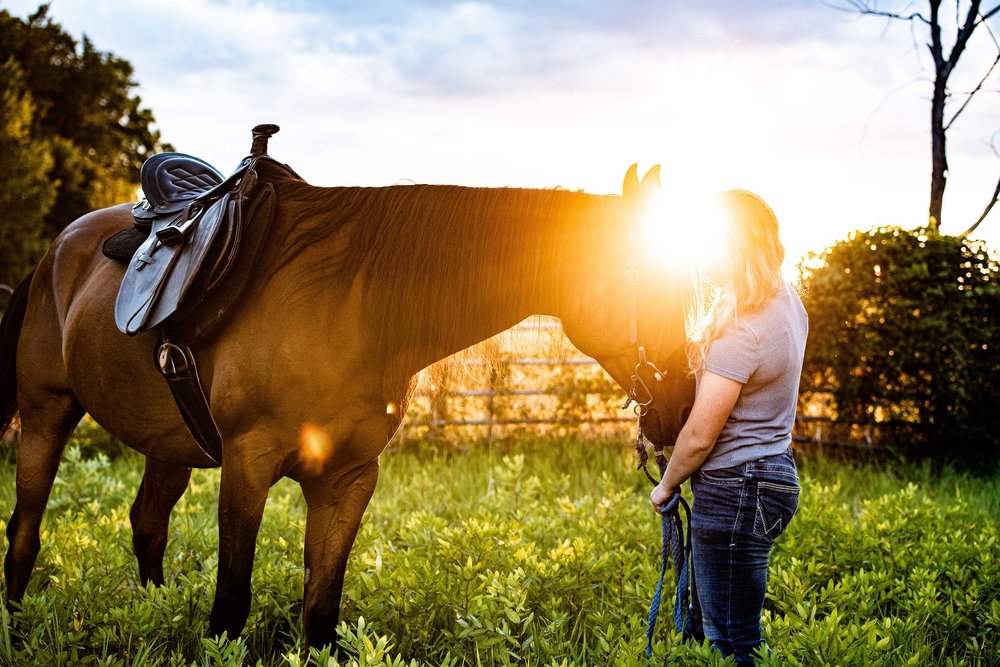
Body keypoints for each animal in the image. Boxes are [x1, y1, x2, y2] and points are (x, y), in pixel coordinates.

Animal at [0, 158, 696, 648]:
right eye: (651, 284)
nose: (685, 405)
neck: (352, 307)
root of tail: (56, 249)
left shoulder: (349, 480)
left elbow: (320, 612)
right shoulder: (247, 466)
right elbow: (230, 607)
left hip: (169, 446)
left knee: (147, 525)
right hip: (46, 414)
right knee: (25, 530)